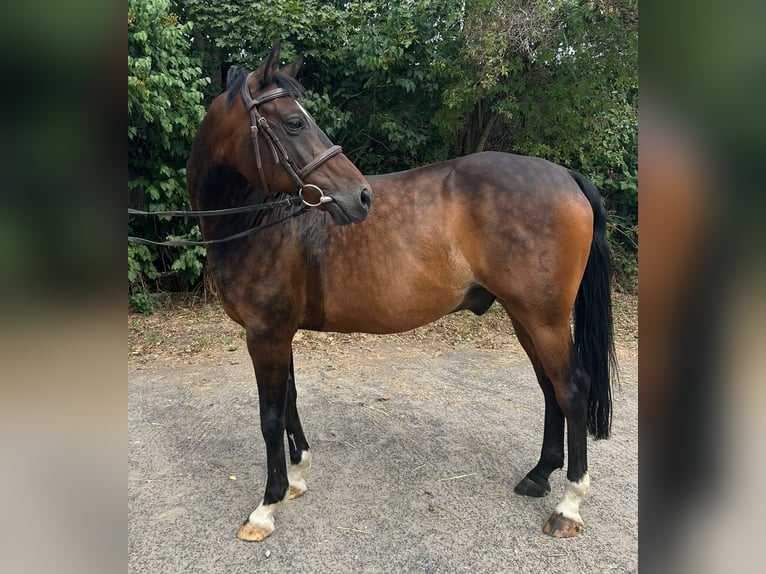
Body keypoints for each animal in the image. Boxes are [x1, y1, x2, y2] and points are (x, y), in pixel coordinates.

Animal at [186, 40, 617, 542]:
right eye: (294, 122)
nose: (360, 196)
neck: (260, 221)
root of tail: (566, 175)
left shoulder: (265, 334)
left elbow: (271, 417)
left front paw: (266, 506)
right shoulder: (278, 334)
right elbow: (290, 401)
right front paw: (295, 479)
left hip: (543, 318)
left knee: (572, 389)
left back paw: (569, 505)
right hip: (523, 316)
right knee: (550, 388)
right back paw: (539, 475)